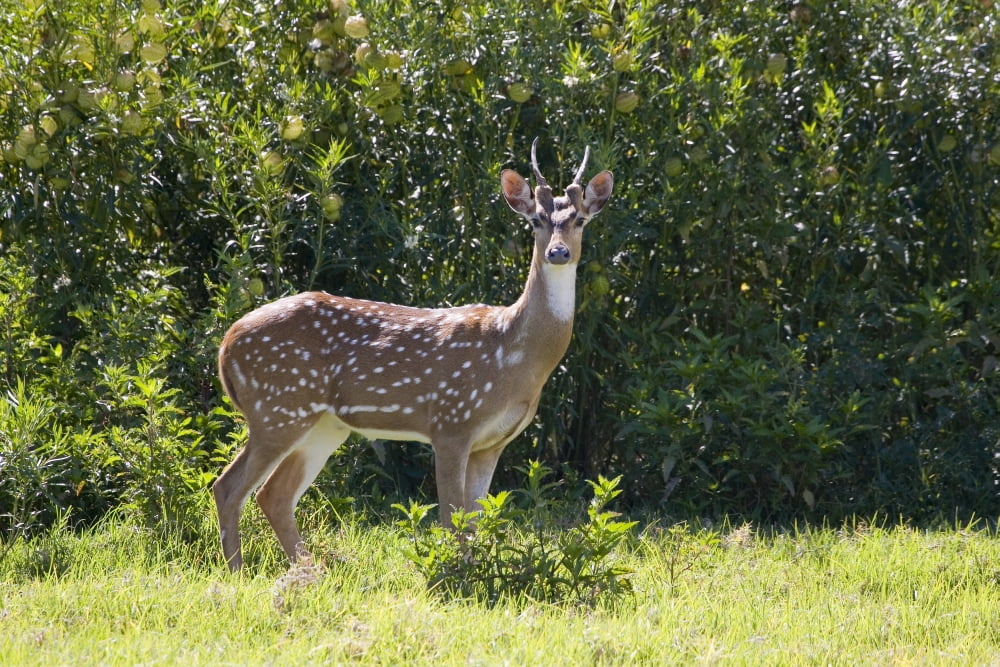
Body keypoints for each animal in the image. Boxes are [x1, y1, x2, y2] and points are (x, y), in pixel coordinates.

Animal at [212, 139, 614, 571]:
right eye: (537, 220)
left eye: (580, 220)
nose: (558, 252)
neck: (515, 355)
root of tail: (226, 343)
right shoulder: (451, 421)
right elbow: (452, 518)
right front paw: (455, 575)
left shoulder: (493, 442)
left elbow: (474, 520)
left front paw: (472, 571)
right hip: (277, 407)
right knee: (229, 487)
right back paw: (239, 573)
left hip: (323, 423)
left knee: (274, 494)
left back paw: (310, 572)